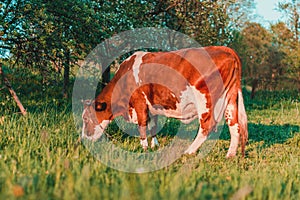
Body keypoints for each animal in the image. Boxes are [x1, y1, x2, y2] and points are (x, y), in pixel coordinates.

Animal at [82, 46, 248, 157]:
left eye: (86, 119)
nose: (83, 139)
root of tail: (225, 50)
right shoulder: (152, 104)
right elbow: (153, 125)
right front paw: (154, 145)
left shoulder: (139, 101)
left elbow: (142, 125)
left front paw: (144, 148)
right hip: (230, 99)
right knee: (234, 125)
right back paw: (230, 155)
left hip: (206, 100)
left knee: (207, 126)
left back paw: (189, 151)